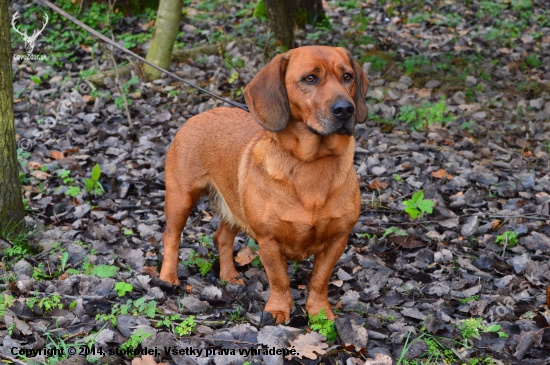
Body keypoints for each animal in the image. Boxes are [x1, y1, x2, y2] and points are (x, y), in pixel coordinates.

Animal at [160, 44, 370, 322]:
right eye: (310, 79)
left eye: (347, 76)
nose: (346, 109)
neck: (312, 163)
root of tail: (203, 113)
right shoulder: (268, 241)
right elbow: (279, 280)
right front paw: (278, 310)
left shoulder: (338, 239)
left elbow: (319, 281)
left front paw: (320, 313)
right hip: (181, 198)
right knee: (171, 237)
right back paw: (168, 277)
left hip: (234, 207)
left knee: (221, 238)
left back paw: (229, 276)